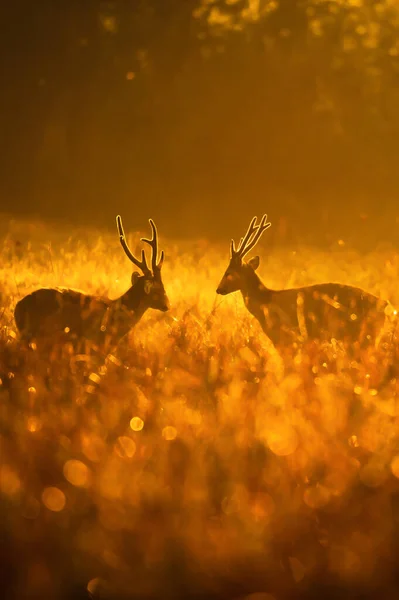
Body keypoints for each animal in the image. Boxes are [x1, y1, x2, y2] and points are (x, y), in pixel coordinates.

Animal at [217, 216, 398, 356]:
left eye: (228, 272)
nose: (218, 289)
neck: (265, 302)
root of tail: (384, 305)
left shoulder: (284, 337)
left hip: (362, 336)